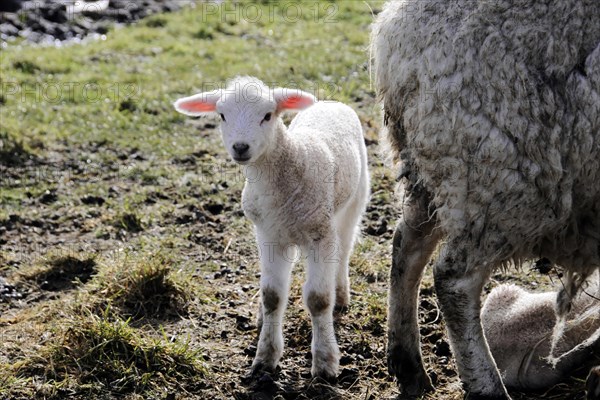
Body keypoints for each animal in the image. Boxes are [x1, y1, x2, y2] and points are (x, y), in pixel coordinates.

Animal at [173, 76, 370, 380]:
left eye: (267, 115)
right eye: (222, 115)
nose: (241, 147)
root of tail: (330, 102)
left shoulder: (320, 234)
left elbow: (319, 299)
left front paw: (325, 363)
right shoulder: (269, 234)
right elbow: (273, 297)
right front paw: (265, 358)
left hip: (354, 200)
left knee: (345, 249)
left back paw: (341, 294)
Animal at [370, 0, 600, 398]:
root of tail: (397, 32)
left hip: (436, 168)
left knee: (407, 244)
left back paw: (408, 364)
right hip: (503, 175)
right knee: (453, 279)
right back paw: (487, 384)